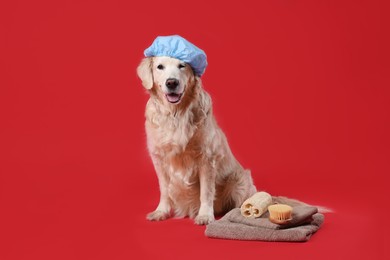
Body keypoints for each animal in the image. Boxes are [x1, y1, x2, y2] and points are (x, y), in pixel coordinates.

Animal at [136, 55, 258, 225]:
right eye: (160, 67)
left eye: (182, 66)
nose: (172, 82)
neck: (176, 114)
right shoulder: (159, 159)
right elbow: (165, 190)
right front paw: (161, 211)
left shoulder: (207, 158)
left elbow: (206, 191)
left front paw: (205, 215)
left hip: (240, 180)